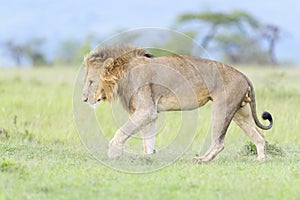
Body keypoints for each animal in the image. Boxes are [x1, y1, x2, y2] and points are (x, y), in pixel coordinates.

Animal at [81, 45, 272, 162]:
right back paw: (260, 159)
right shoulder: (148, 112)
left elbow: (122, 131)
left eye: (91, 82)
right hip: (241, 111)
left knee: (219, 142)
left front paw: (113, 153)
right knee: (259, 136)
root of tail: (243, 75)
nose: (83, 99)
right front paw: (147, 159)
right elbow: (147, 140)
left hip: (222, 107)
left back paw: (202, 160)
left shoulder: (146, 110)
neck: (122, 73)